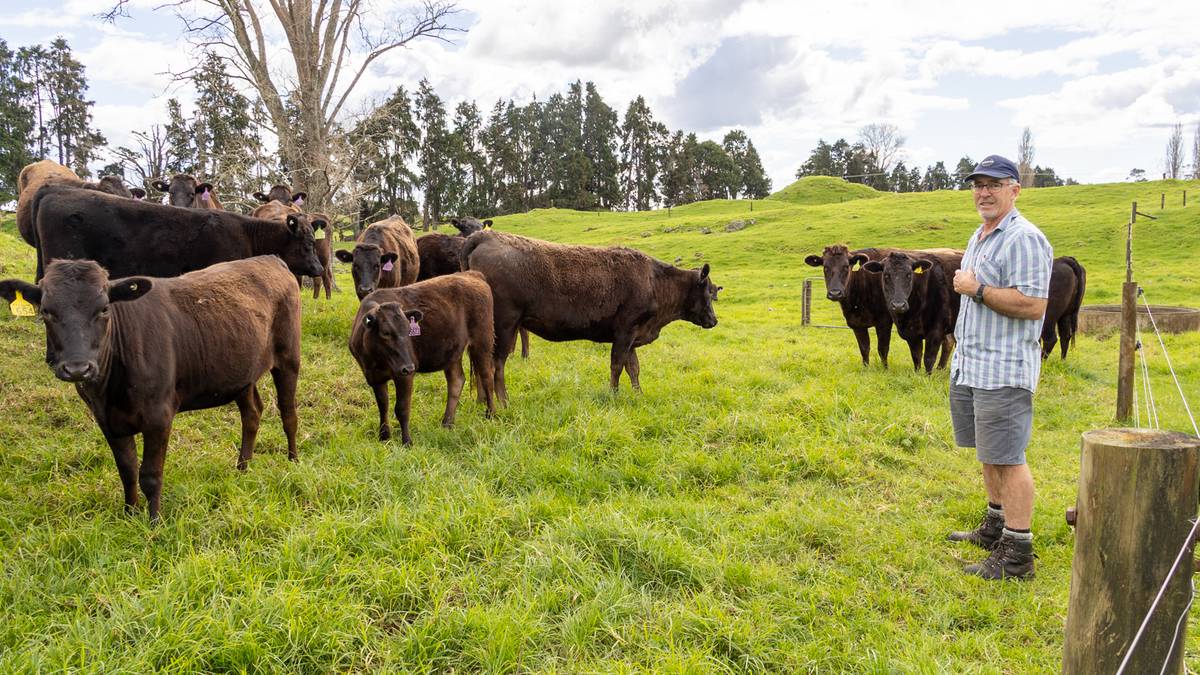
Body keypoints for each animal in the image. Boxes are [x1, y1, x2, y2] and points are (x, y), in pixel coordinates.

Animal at [0, 254, 304, 516]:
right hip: (241, 373)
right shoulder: (106, 419)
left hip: (288, 357)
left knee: (288, 412)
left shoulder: (159, 416)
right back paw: (242, 468)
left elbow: (150, 474)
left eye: (104, 308)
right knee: (251, 413)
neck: (111, 392)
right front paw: (129, 513)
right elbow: (127, 470)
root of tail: (270, 259)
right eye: (46, 312)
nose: (77, 368)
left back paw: (292, 461)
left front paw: (154, 522)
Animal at [348, 270, 496, 444]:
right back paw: (447, 423)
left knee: (487, 376)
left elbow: (402, 408)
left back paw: (491, 415)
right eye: (385, 333)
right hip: (453, 352)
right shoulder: (374, 376)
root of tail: (472, 274)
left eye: (409, 331)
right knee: (456, 380)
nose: (409, 366)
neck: (376, 360)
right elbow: (383, 405)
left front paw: (407, 441)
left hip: (483, 341)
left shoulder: (404, 375)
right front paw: (384, 437)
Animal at [458, 230, 720, 398]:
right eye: (708, 292)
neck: (653, 280)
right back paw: (503, 402)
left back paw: (483, 401)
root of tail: (484, 236)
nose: (714, 320)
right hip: (504, 326)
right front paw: (614, 394)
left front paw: (638, 394)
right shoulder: (625, 332)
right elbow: (617, 365)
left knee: (482, 366)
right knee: (495, 364)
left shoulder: (632, 337)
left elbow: (633, 368)